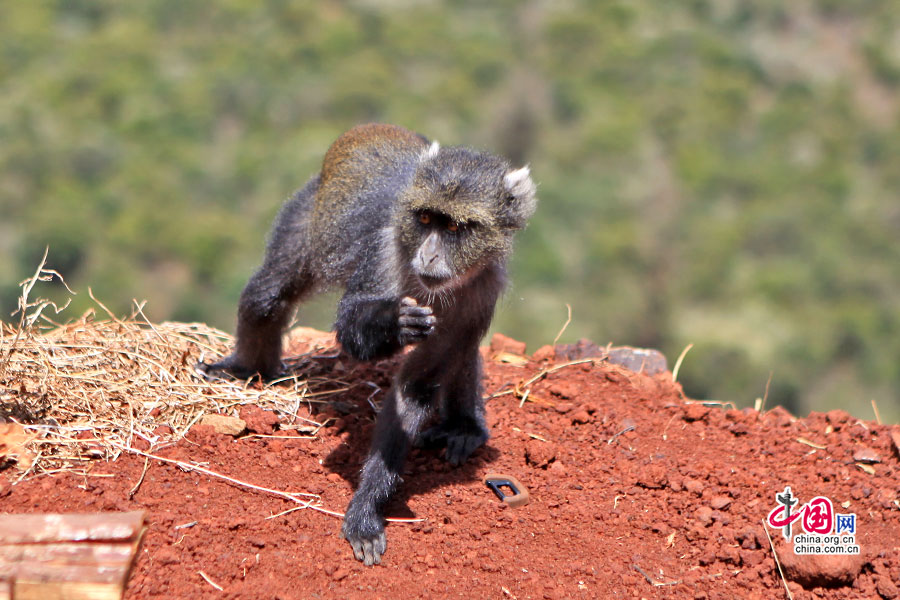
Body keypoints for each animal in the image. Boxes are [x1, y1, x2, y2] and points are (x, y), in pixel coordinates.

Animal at [199, 124, 536, 564]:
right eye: (425, 218)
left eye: (455, 228)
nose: (428, 256)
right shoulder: (384, 252)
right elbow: (350, 326)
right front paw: (394, 324)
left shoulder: (483, 289)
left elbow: (420, 380)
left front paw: (368, 506)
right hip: (305, 216)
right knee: (267, 297)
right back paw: (246, 368)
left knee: (463, 354)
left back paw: (463, 427)